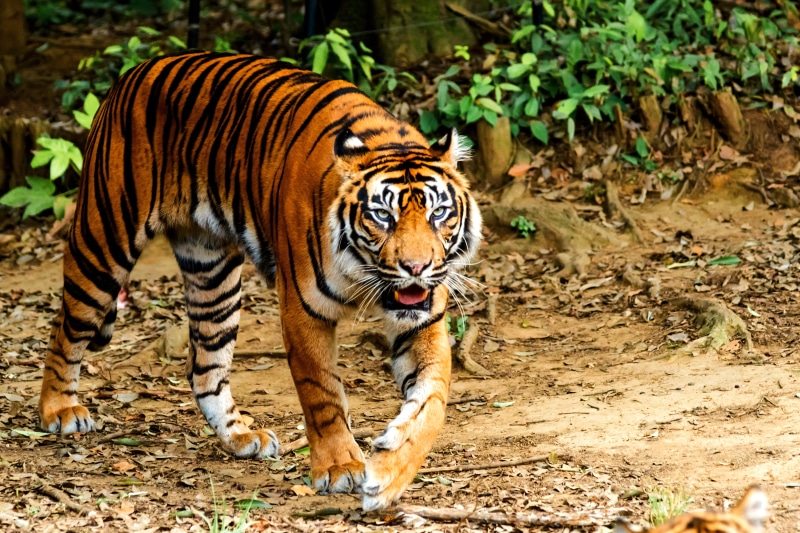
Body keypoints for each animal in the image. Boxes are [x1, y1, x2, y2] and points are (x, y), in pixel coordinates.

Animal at [37, 51, 482, 511]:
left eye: (438, 213)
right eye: (382, 215)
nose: (416, 267)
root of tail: (136, 70)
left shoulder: (422, 320)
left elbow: (432, 399)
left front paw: (391, 472)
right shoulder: (303, 309)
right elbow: (322, 392)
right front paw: (340, 467)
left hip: (213, 275)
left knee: (204, 367)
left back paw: (240, 436)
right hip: (103, 241)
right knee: (64, 328)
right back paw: (59, 410)